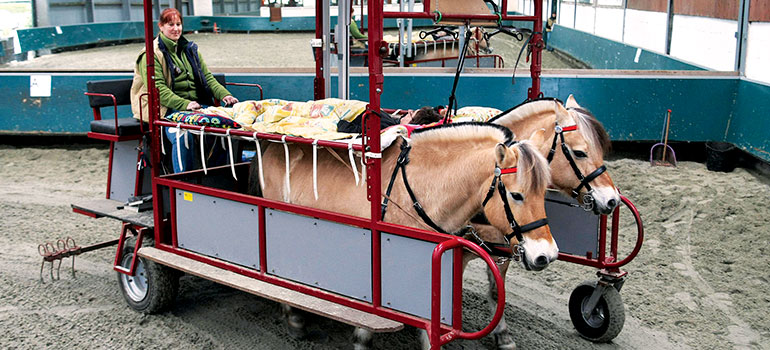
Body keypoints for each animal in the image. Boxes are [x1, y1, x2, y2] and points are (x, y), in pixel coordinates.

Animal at [249, 121, 556, 346]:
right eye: (516, 195)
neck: (422, 188)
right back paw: (294, 318)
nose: (546, 255)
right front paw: (362, 339)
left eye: (544, 191)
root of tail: (268, 145)